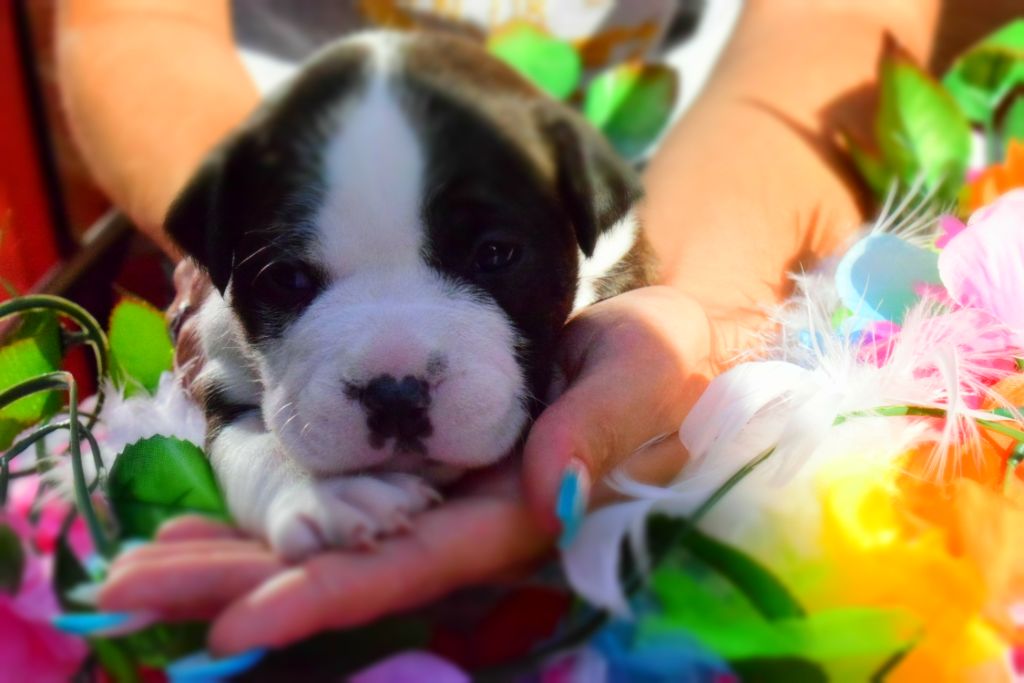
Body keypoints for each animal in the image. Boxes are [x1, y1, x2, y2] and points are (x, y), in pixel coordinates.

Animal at [167, 30, 655, 560]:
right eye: (287, 278)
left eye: (495, 254)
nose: (395, 396)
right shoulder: (220, 375)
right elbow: (249, 445)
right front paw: (327, 494)